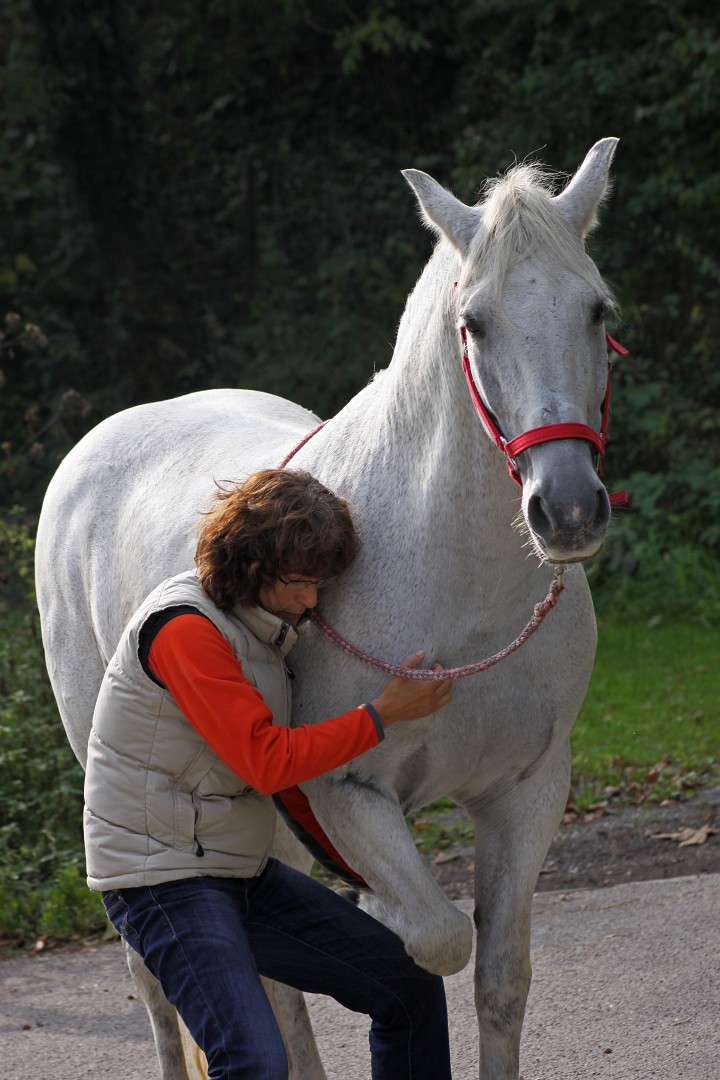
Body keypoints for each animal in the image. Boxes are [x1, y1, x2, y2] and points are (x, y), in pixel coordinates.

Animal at [36, 139, 621, 1075]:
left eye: (596, 311)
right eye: (476, 323)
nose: (566, 509)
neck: (462, 592)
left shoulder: (527, 794)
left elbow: (497, 977)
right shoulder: (344, 795)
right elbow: (434, 939)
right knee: (157, 983)